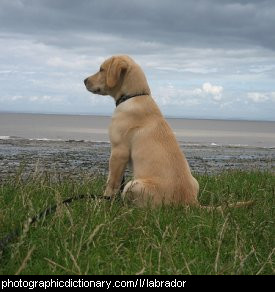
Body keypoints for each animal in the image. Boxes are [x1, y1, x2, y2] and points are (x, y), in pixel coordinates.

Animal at [84, 55, 254, 210]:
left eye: (101, 69)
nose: (84, 80)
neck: (133, 96)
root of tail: (191, 201)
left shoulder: (119, 152)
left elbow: (112, 182)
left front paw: (104, 201)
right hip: (194, 181)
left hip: (134, 184)